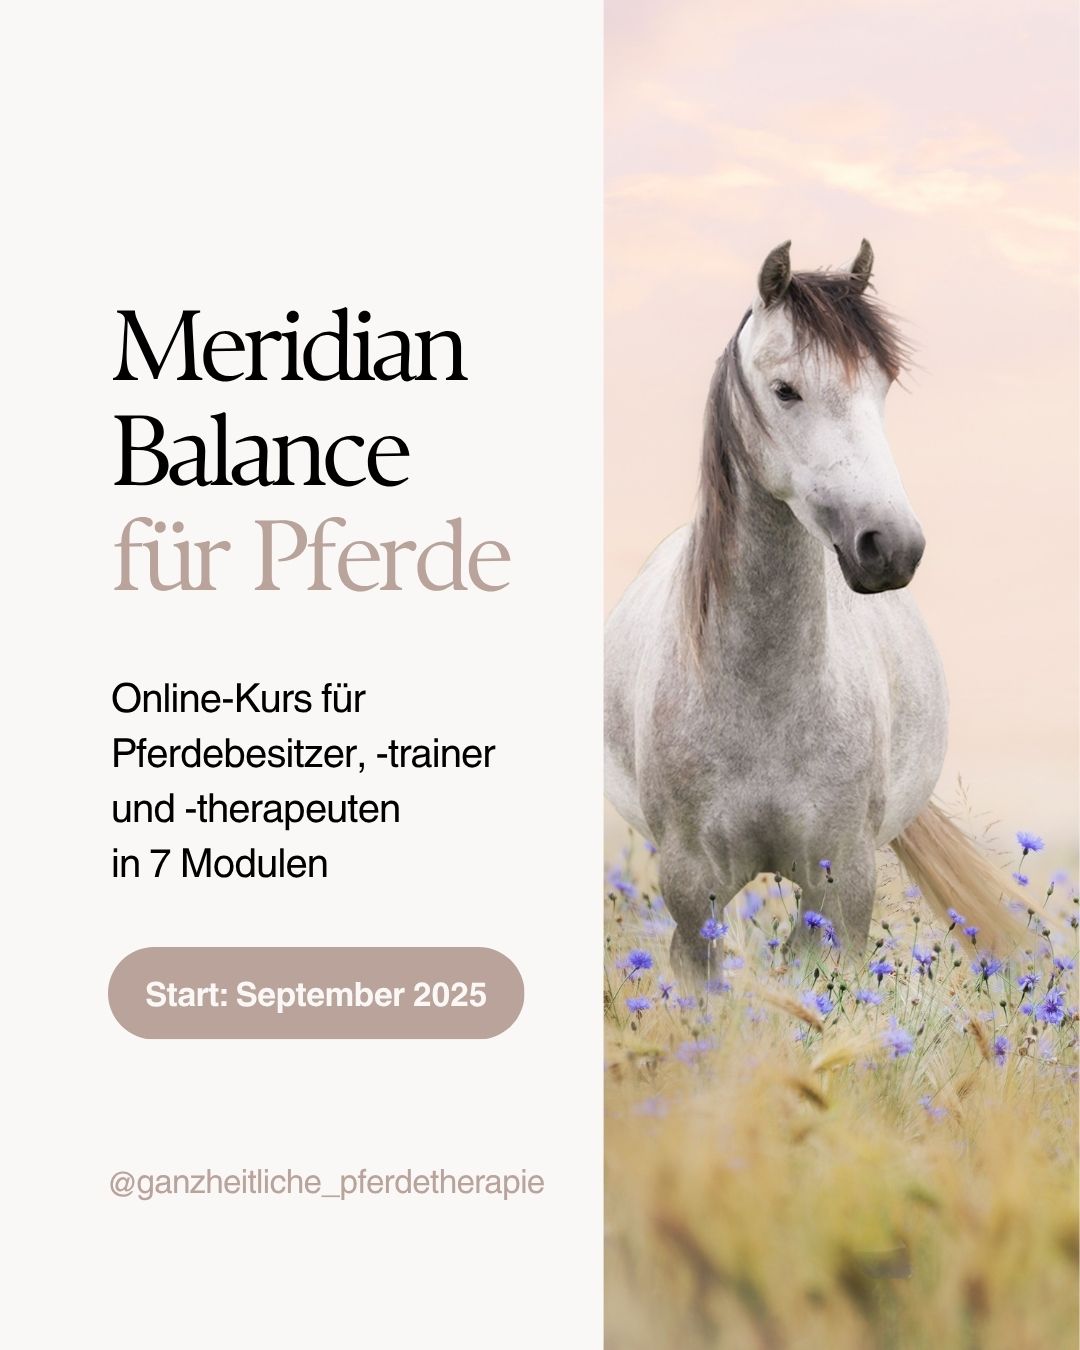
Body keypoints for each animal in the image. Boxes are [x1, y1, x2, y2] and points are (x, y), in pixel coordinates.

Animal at [605, 240, 1024, 978]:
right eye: (786, 390)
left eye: (881, 386)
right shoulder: (692, 891)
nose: (892, 546)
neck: (764, 693)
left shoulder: (842, 887)